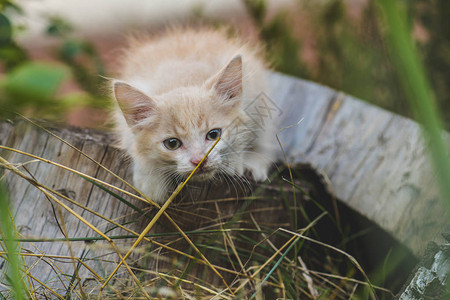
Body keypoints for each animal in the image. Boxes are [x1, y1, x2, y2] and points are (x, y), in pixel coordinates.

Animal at [112, 28, 274, 203]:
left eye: (213, 134)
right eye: (172, 144)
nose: (199, 160)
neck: (184, 79)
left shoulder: (254, 96)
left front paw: (234, 162)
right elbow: (134, 146)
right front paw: (150, 179)